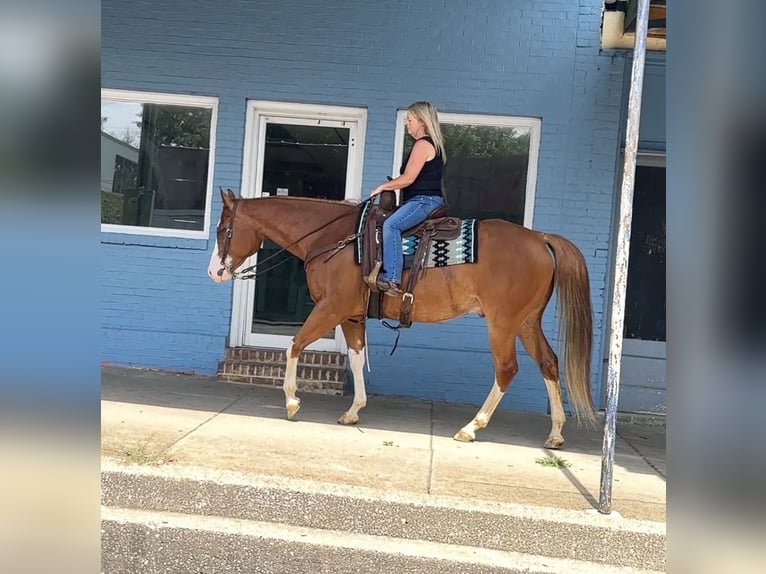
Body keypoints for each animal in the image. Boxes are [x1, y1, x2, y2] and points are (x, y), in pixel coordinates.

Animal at [208, 188, 596, 449]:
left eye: (224, 230)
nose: (214, 272)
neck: (334, 239)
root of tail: (539, 238)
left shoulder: (331, 308)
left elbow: (294, 345)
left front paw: (291, 402)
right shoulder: (351, 316)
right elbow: (356, 358)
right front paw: (354, 410)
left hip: (502, 324)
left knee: (507, 369)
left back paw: (472, 427)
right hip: (527, 322)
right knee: (549, 363)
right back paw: (555, 432)